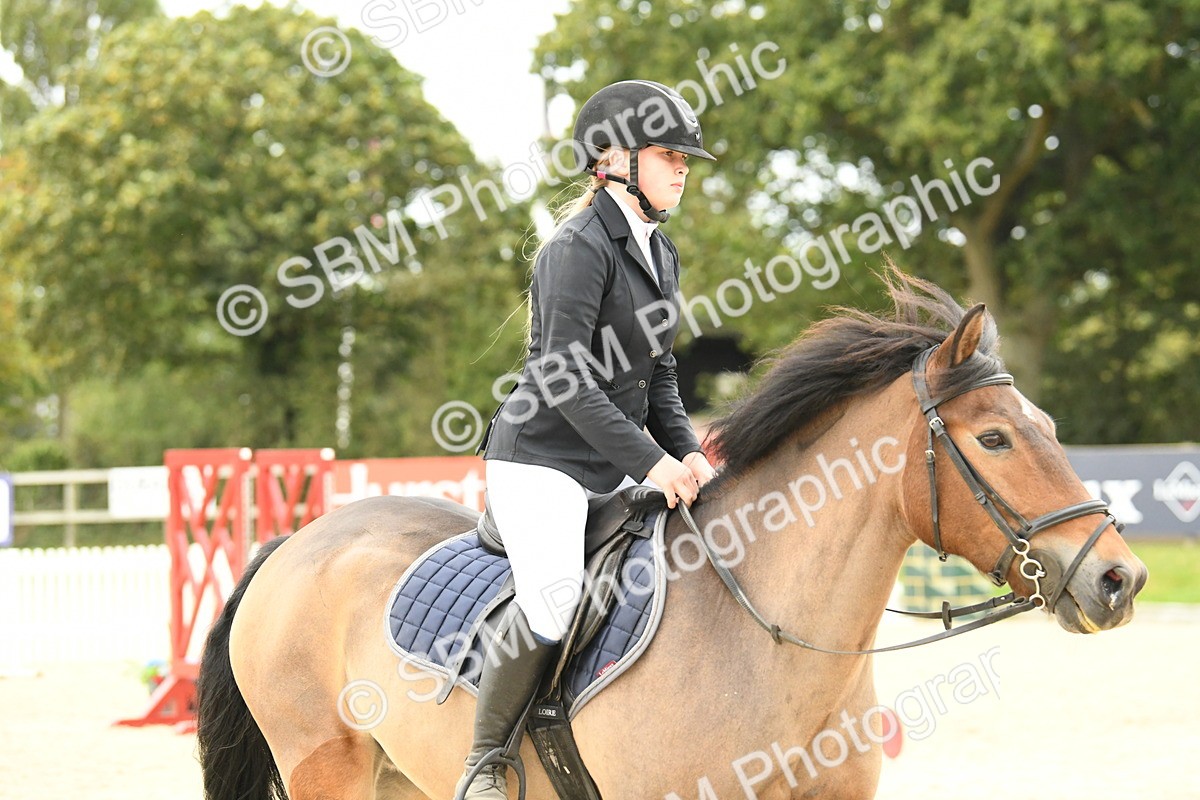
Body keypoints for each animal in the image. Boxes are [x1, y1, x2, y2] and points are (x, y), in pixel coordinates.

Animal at [196, 269, 1147, 800]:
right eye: (994, 439)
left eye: (1046, 425)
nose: (1120, 579)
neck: (770, 643)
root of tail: (298, 541)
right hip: (327, 765)